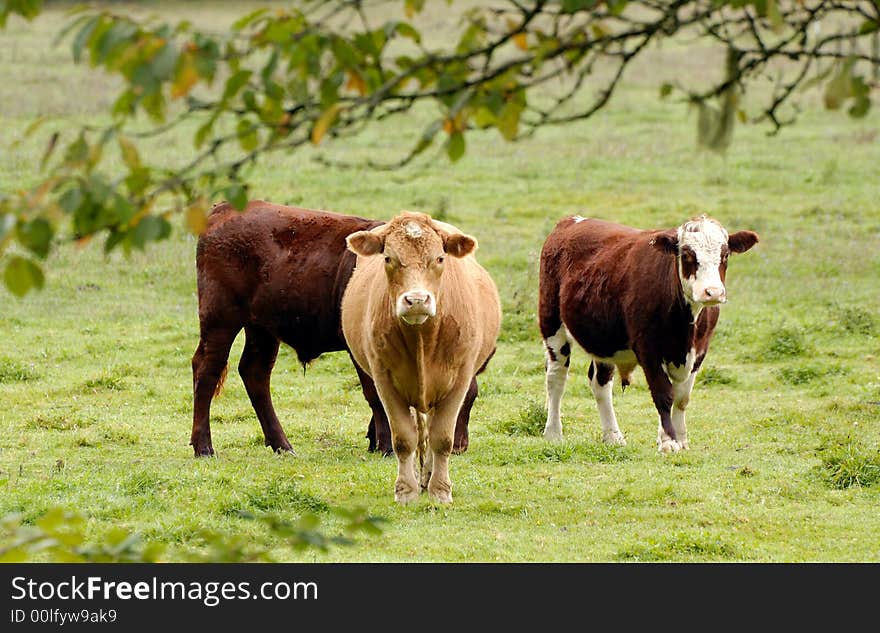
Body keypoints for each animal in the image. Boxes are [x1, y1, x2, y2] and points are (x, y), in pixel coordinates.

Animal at [190, 200, 478, 456]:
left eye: (469, 400)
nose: (457, 446)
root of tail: (224, 210)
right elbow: (377, 394)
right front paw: (385, 444)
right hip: (220, 319)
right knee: (207, 370)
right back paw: (203, 446)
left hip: (262, 328)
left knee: (255, 373)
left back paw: (282, 445)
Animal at [340, 212, 498, 504]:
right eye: (388, 258)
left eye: (439, 258)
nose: (416, 300)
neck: (422, 337)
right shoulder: (384, 380)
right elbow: (404, 438)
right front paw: (406, 490)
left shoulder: (459, 380)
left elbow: (442, 438)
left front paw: (440, 491)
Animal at [540, 215, 760, 452]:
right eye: (687, 255)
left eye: (725, 254)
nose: (713, 292)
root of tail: (571, 221)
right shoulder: (648, 350)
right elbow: (663, 394)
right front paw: (668, 441)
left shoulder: (700, 351)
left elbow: (682, 397)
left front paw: (681, 439)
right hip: (552, 325)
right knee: (556, 378)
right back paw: (553, 433)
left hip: (604, 339)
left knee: (600, 383)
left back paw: (613, 436)